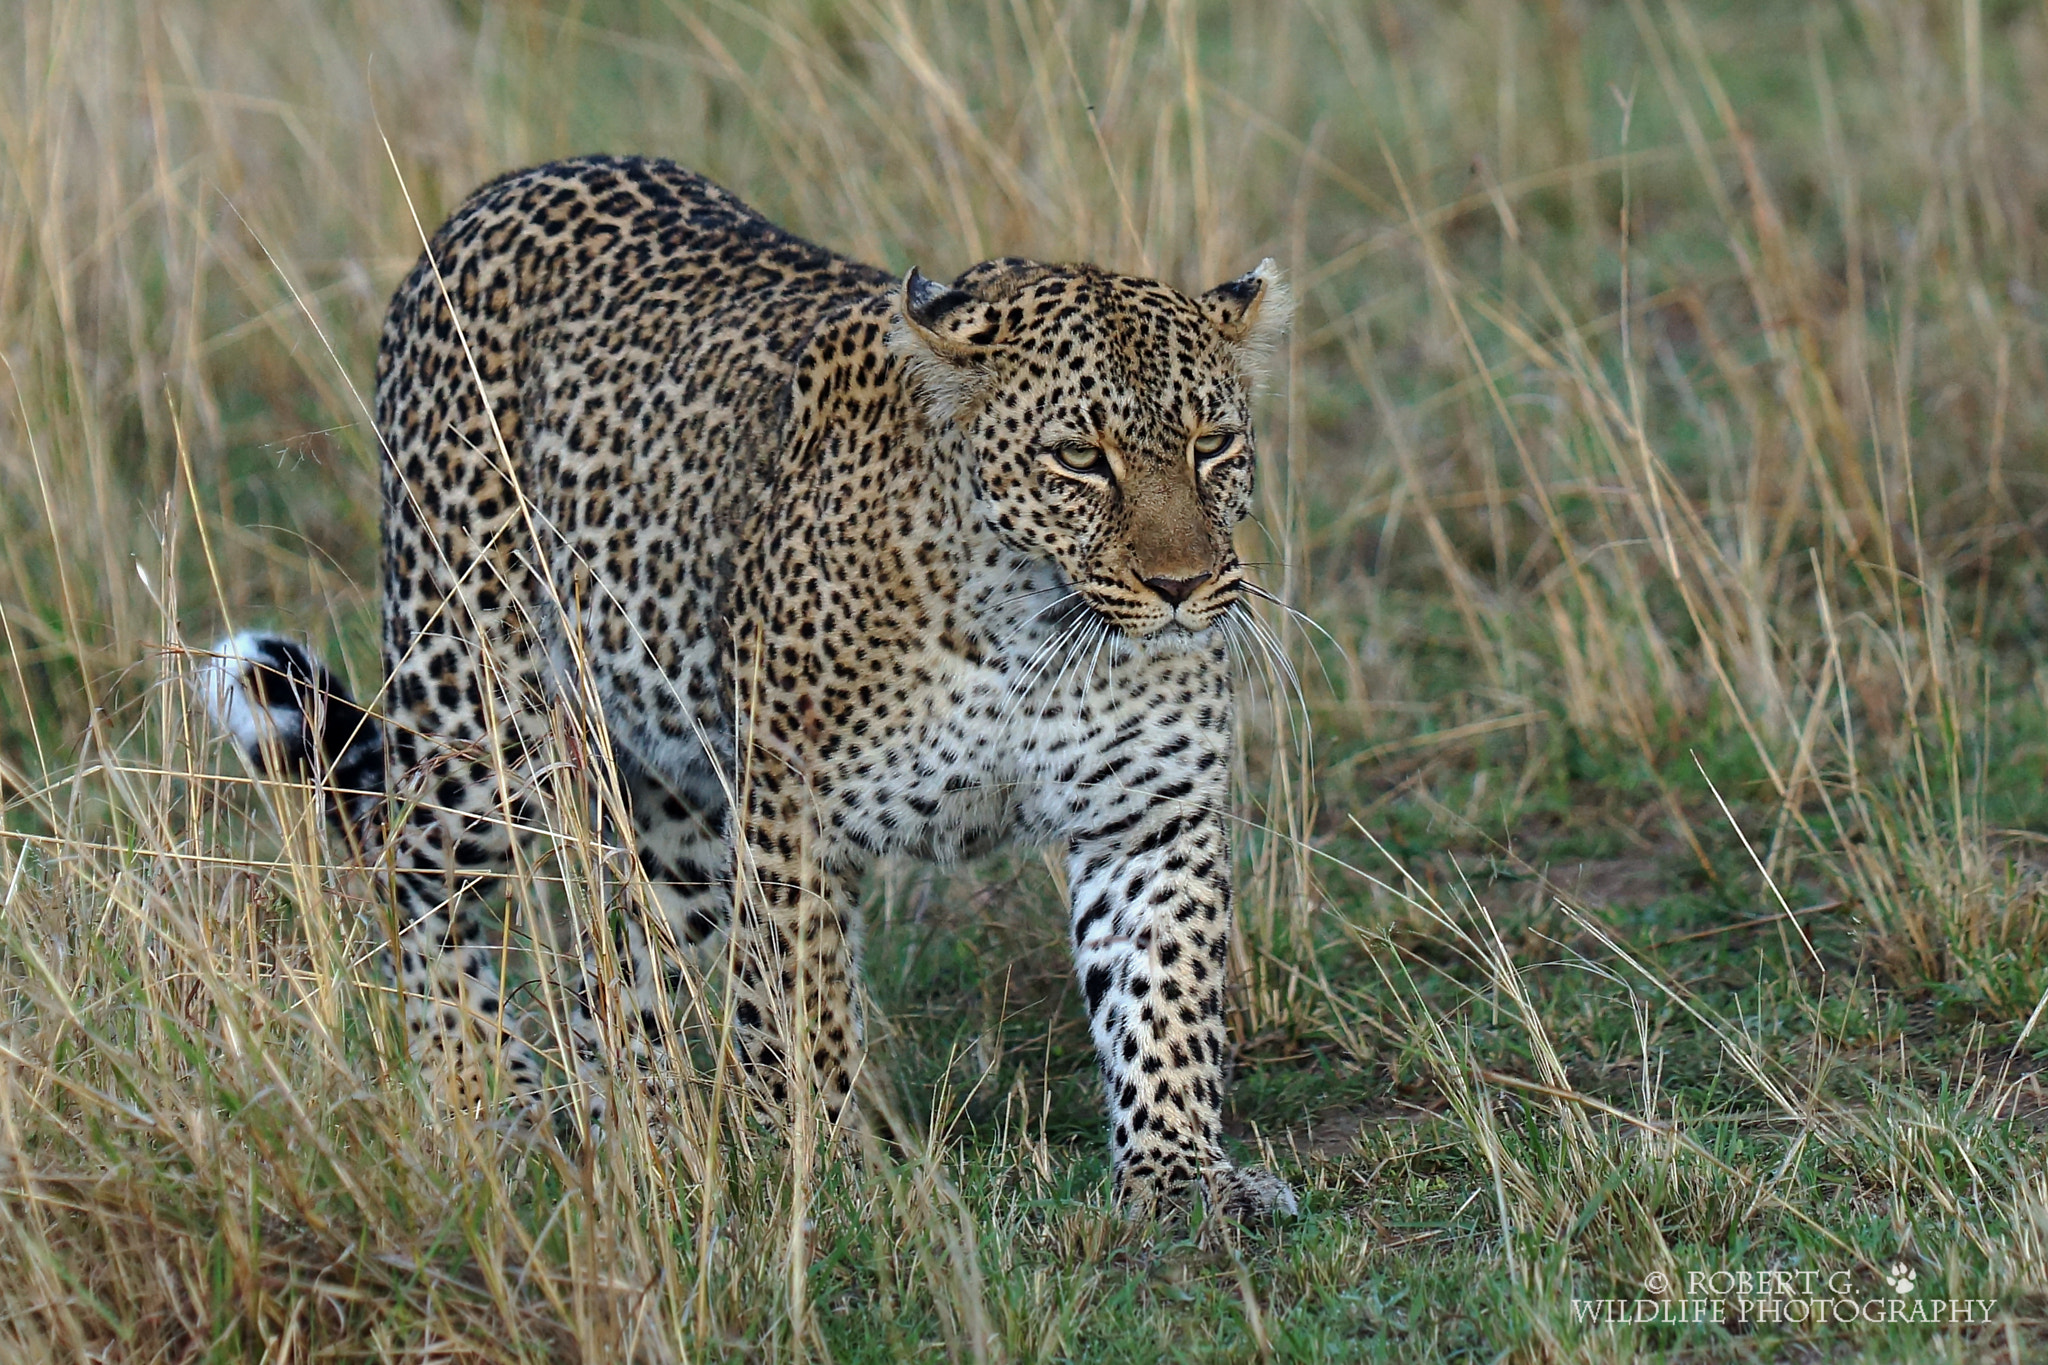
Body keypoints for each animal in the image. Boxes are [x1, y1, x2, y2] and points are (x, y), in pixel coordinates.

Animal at [207, 154, 1294, 1219]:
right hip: (477, 707)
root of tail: (497, 192)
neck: (1033, 620)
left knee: (620, 981)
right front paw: (836, 1175)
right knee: (411, 867)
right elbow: (797, 1012)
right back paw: (486, 1097)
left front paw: (1182, 1175)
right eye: (1078, 458)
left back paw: (636, 1137)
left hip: (675, 810)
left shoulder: (1146, 811)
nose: (1182, 586)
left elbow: (1162, 994)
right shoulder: (790, 816)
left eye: (1212, 446)